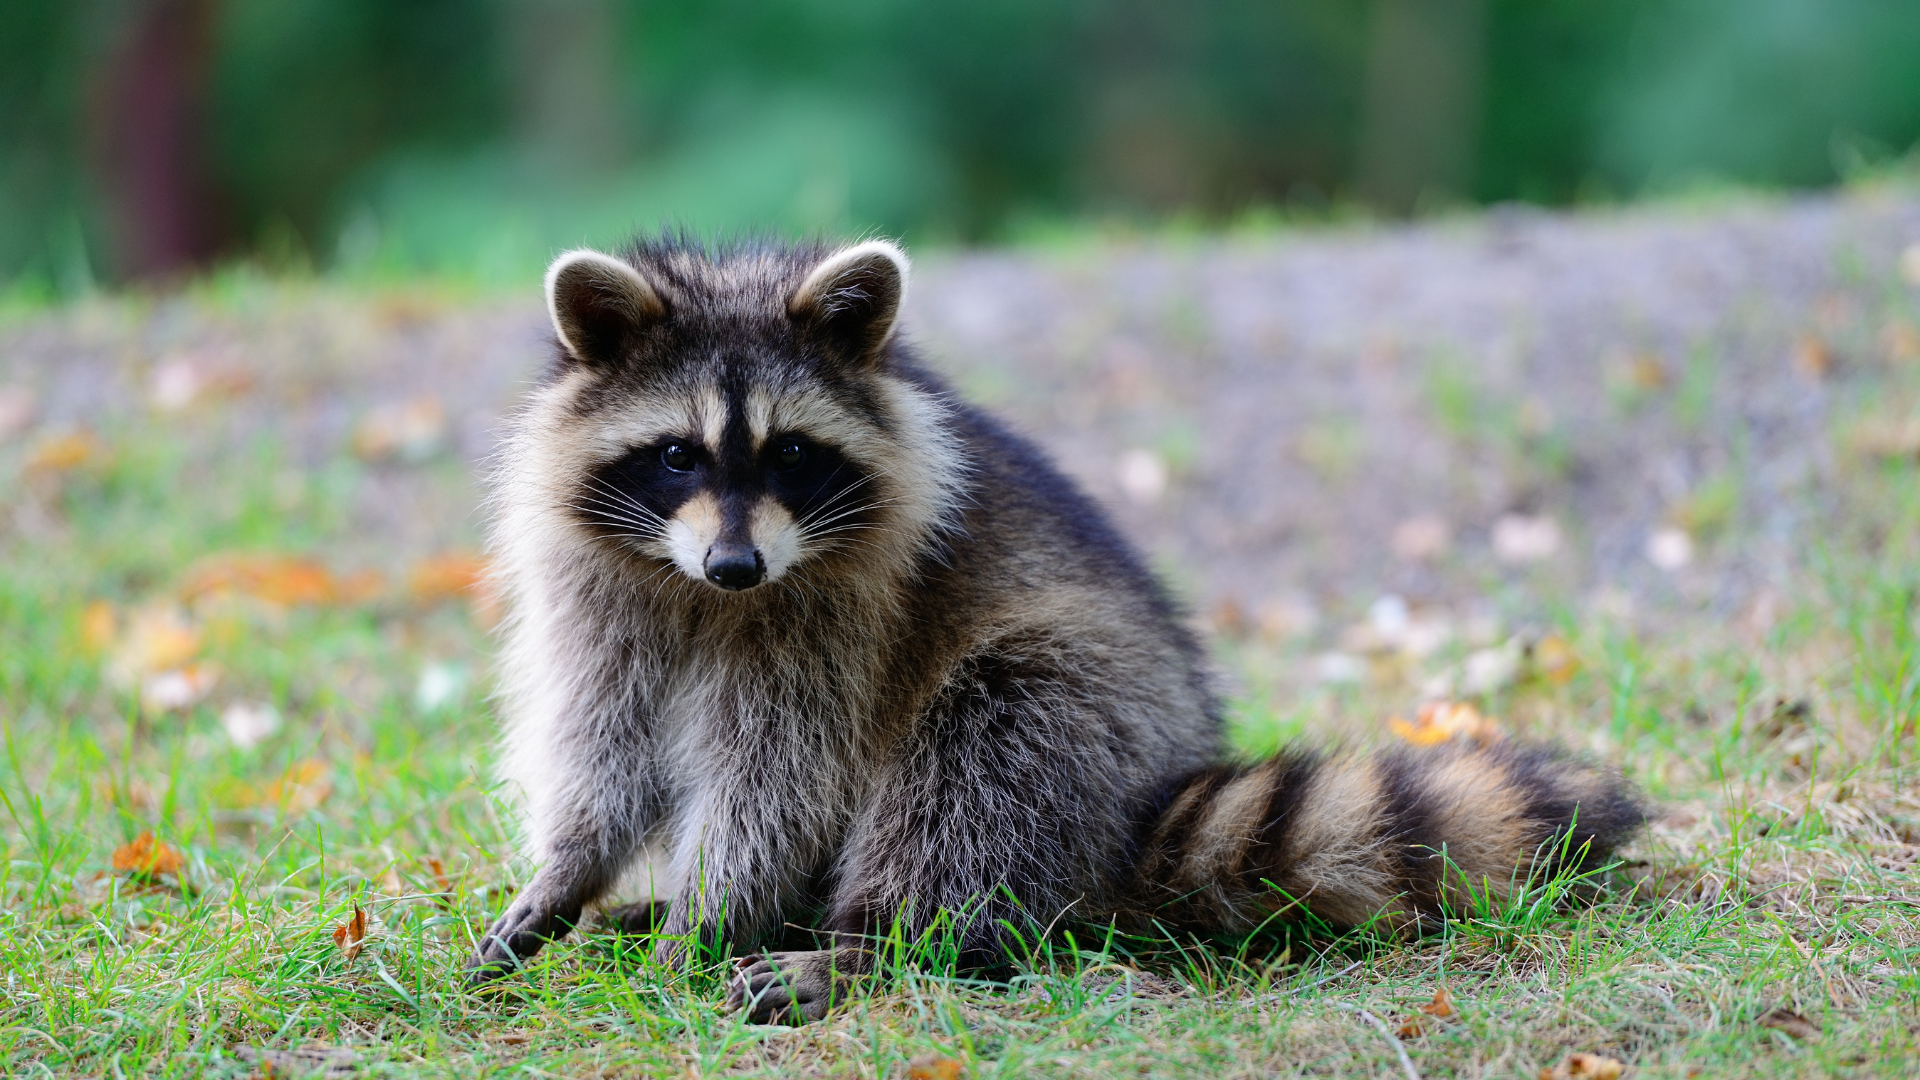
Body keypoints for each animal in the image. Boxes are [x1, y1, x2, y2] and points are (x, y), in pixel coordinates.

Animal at [468, 236, 1644, 1022]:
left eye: (792, 454)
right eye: (677, 455)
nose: (737, 565)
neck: (704, 594)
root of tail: (1150, 801)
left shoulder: (842, 614)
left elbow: (779, 775)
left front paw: (712, 915)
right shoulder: (601, 590)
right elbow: (603, 742)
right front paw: (572, 872)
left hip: (1084, 708)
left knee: (981, 762)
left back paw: (872, 943)